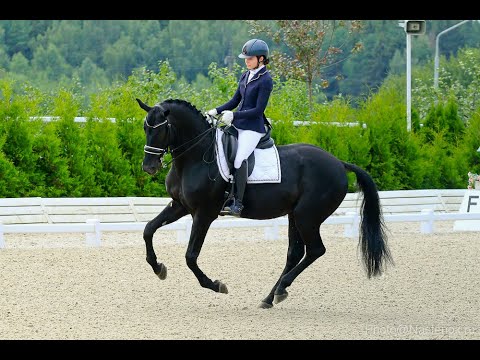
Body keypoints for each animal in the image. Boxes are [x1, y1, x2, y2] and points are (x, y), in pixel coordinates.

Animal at [136, 97, 394, 308]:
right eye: (145, 128)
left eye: (161, 129)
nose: (149, 167)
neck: (196, 156)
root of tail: (339, 163)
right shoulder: (179, 206)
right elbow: (148, 229)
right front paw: (158, 268)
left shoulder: (204, 213)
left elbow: (190, 256)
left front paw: (217, 285)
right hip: (295, 215)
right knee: (295, 253)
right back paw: (271, 297)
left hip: (307, 216)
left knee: (315, 250)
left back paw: (280, 289)